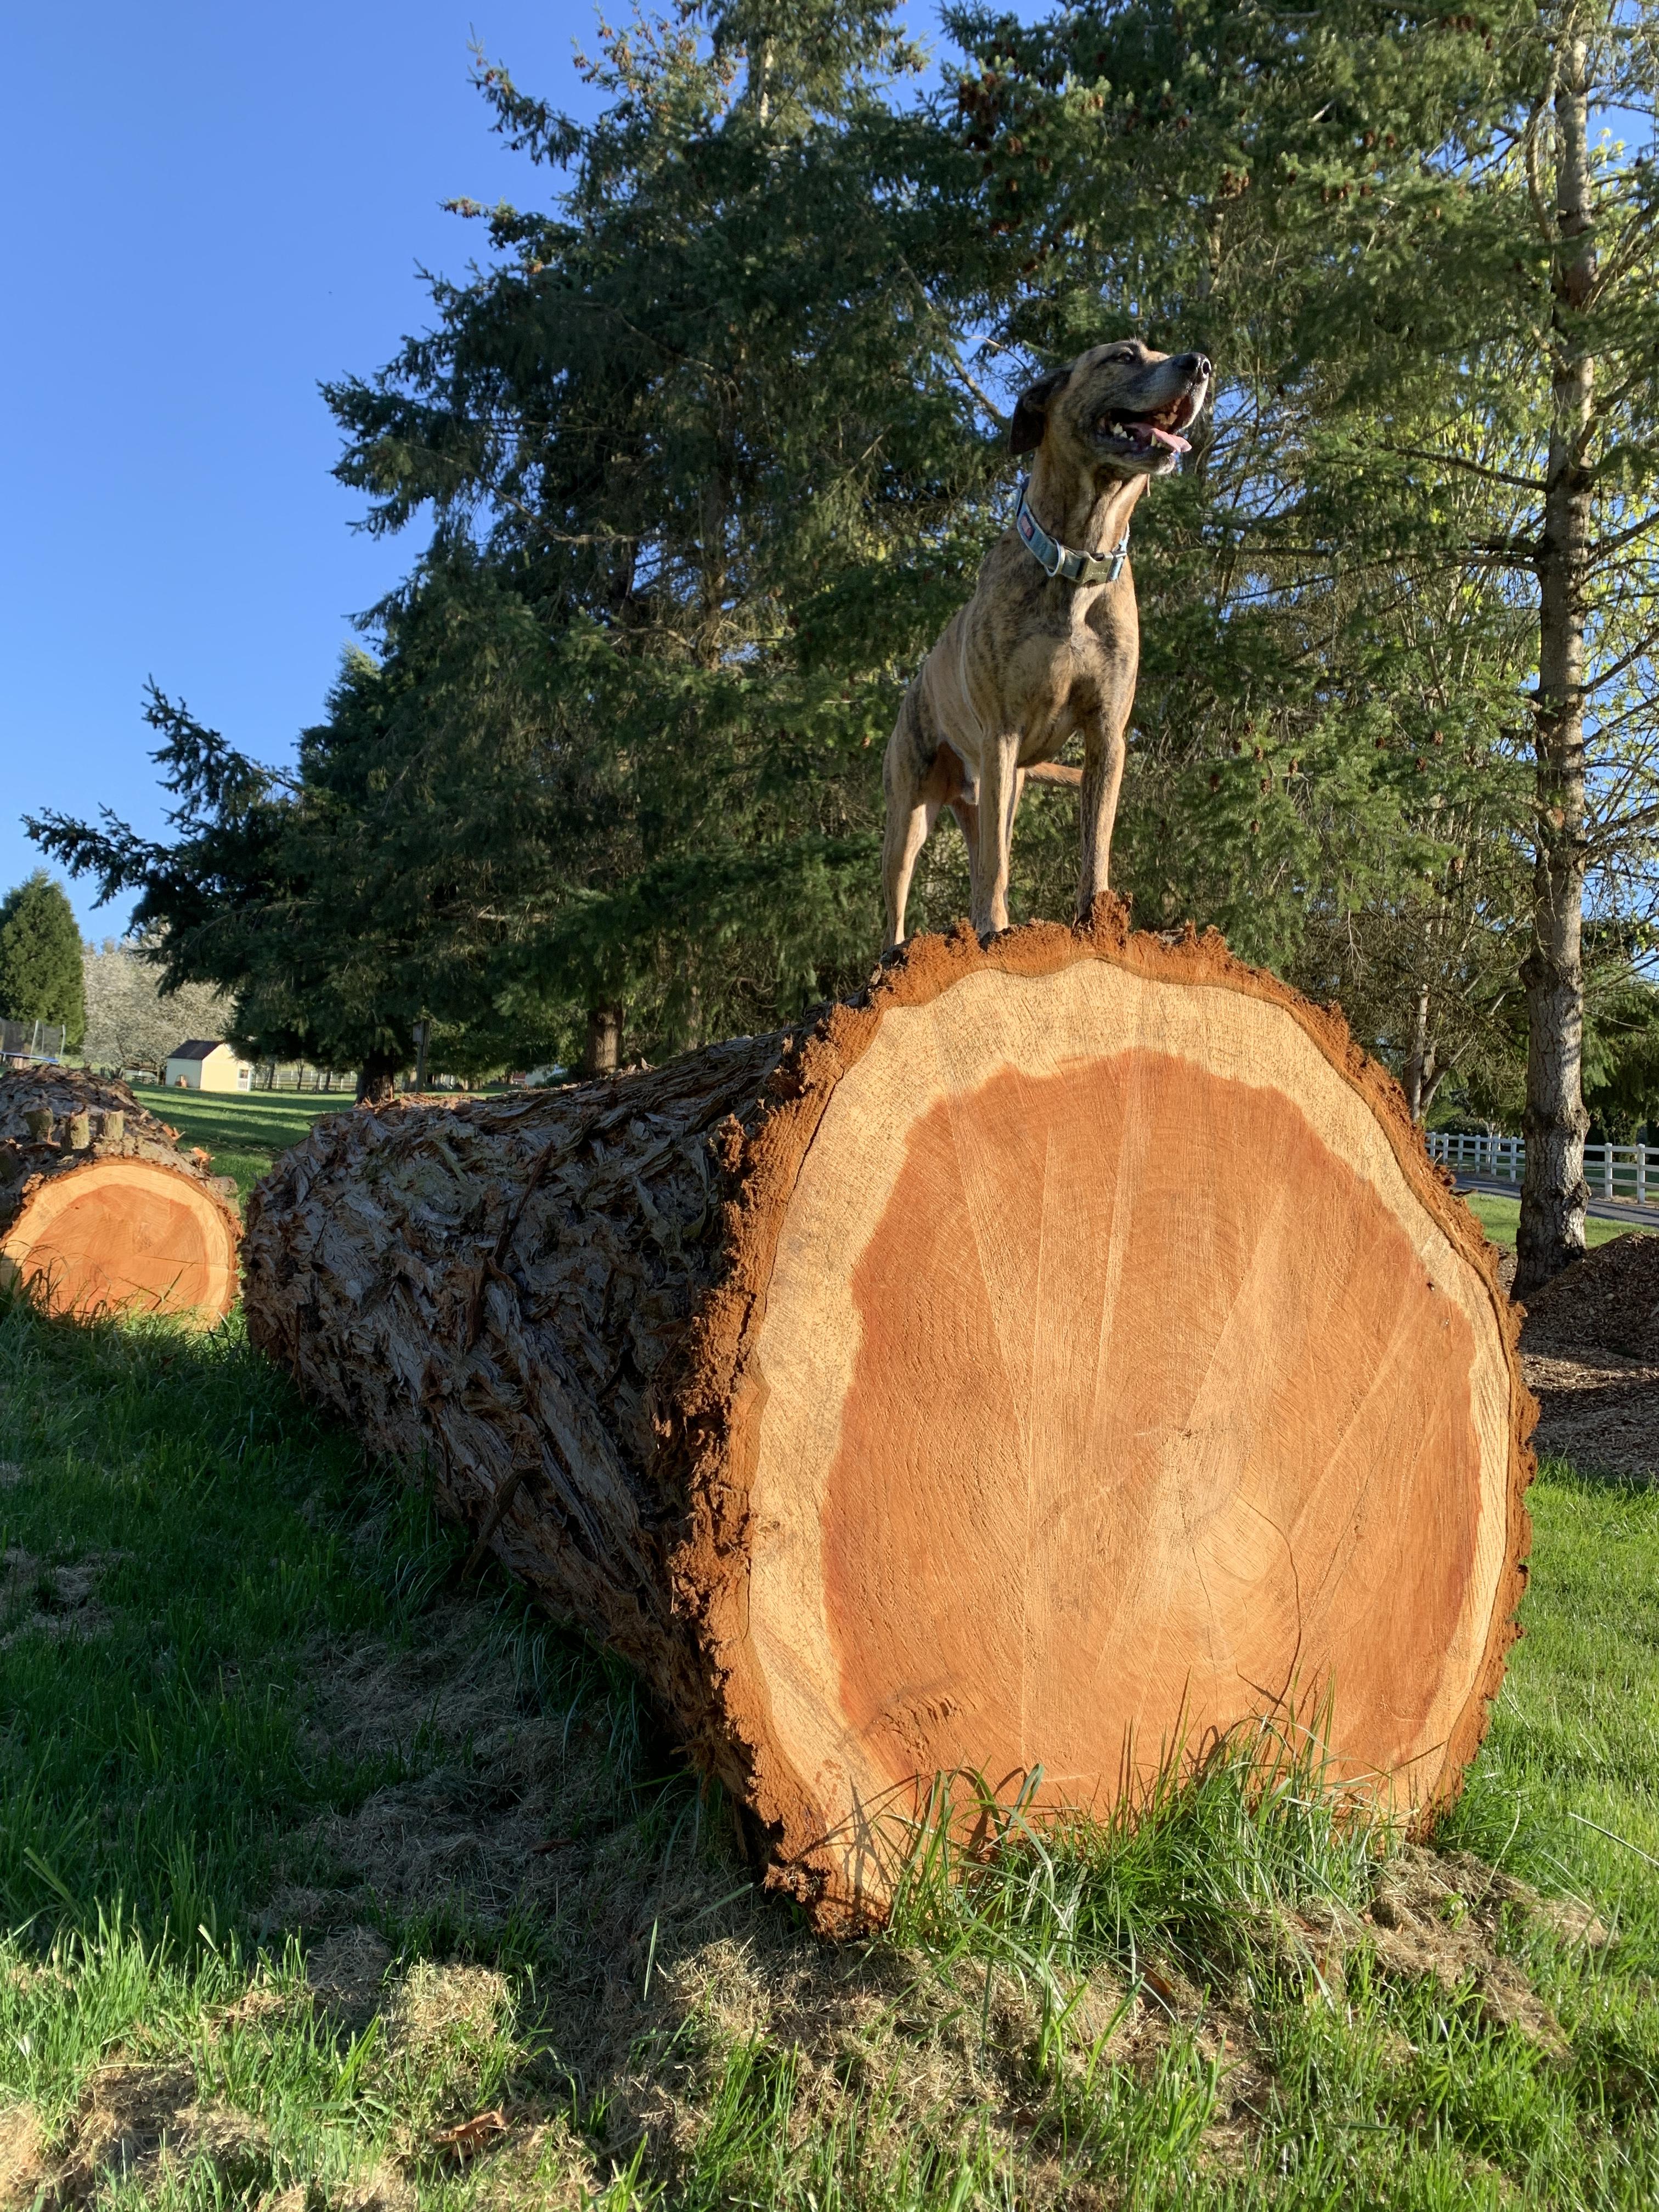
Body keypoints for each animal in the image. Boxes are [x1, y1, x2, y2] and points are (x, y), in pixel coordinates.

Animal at [876, 340, 1212, 946]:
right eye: (1123, 355)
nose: (1199, 364)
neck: (1079, 555)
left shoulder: (1106, 733)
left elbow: (1094, 844)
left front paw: (1095, 923)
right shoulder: (1003, 731)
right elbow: (997, 866)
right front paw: (996, 932)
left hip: (993, 793)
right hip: (910, 811)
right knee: (902, 898)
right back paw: (899, 953)